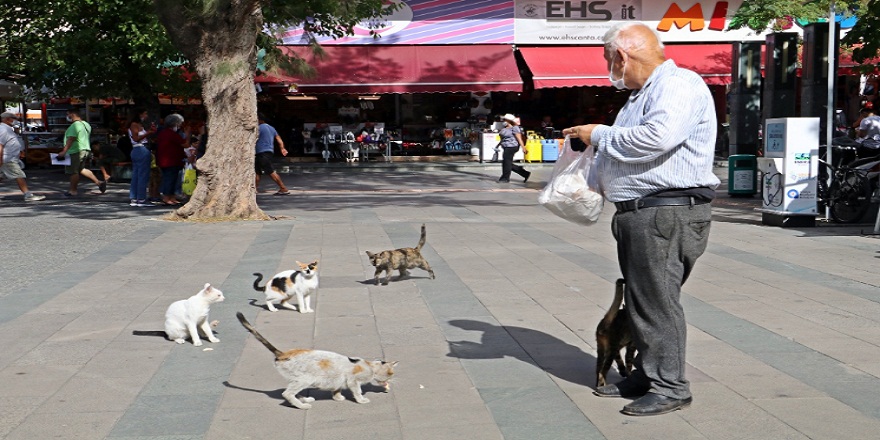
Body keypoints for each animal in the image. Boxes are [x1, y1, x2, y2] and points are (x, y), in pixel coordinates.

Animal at [235, 312, 398, 410]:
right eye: (391, 373)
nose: (391, 380)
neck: (370, 366)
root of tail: (283, 353)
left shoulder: (338, 380)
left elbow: (336, 388)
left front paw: (338, 397)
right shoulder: (353, 380)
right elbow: (357, 391)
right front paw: (361, 400)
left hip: (296, 379)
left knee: (291, 391)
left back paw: (304, 399)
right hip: (305, 378)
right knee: (287, 394)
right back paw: (302, 406)